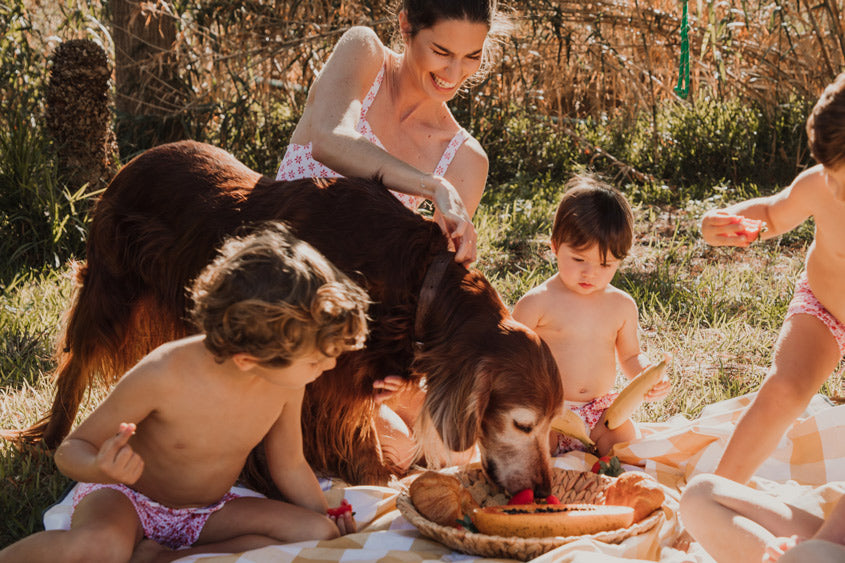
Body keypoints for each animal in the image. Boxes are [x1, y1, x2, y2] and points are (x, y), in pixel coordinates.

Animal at [19, 141, 564, 498]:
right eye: (523, 424)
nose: (542, 491)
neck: (416, 283)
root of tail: (135, 158)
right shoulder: (325, 377)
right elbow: (355, 435)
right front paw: (381, 482)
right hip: (110, 290)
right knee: (76, 361)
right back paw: (50, 439)